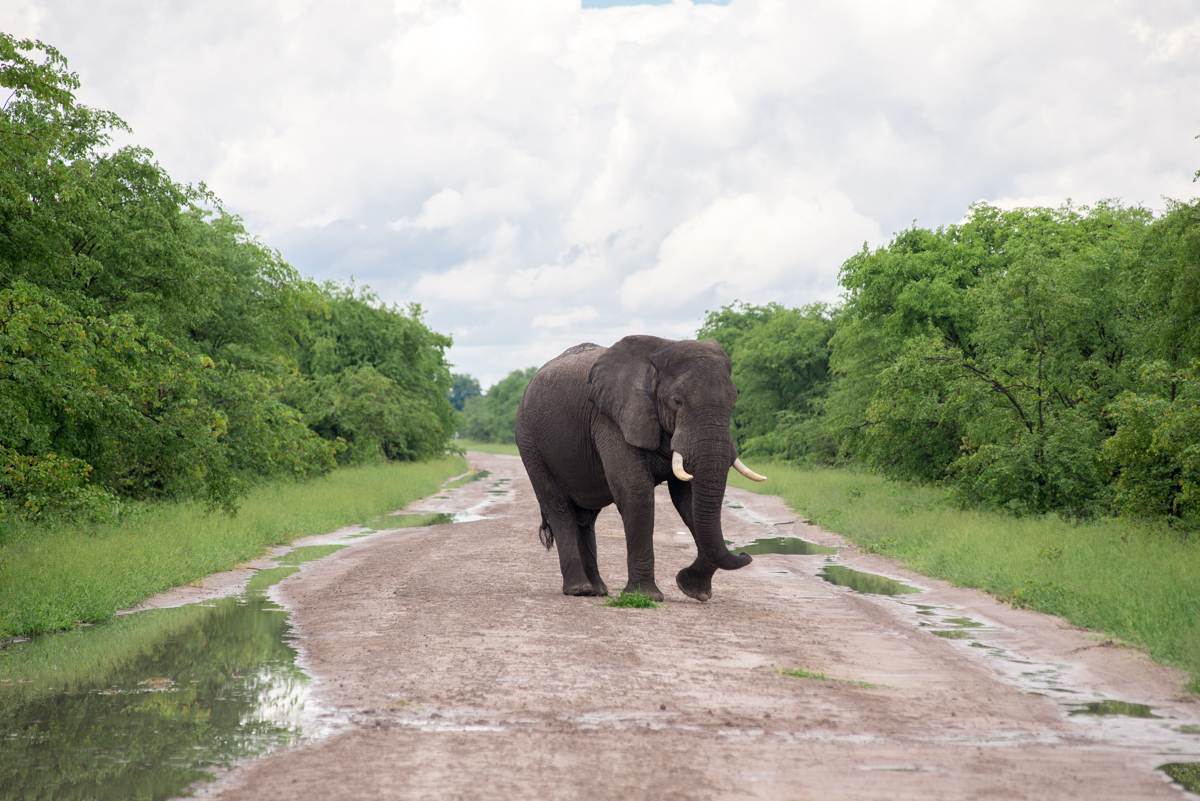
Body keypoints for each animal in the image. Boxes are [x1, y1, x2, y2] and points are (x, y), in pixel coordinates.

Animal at [511, 330, 763, 599]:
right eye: (677, 401)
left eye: (734, 402)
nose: (745, 554)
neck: (661, 351)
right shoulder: (611, 419)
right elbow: (636, 493)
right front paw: (645, 596)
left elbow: (688, 499)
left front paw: (693, 591)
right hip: (530, 443)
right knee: (559, 508)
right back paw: (578, 589)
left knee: (585, 516)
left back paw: (596, 590)